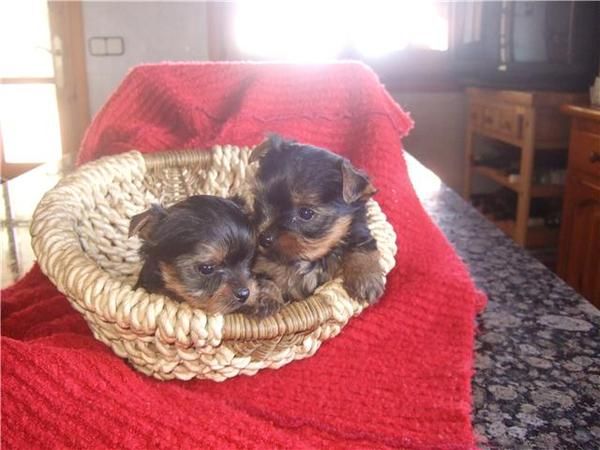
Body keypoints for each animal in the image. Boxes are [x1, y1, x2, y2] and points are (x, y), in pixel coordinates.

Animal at [248, 134, 384, 310]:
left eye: (306, 213)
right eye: (259, 201)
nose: (263, 238)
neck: (308, 258)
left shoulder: (357, 230)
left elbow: (363, 247)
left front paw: (366, 278)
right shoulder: (259, 263)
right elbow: (264, 277)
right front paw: (268, 298)